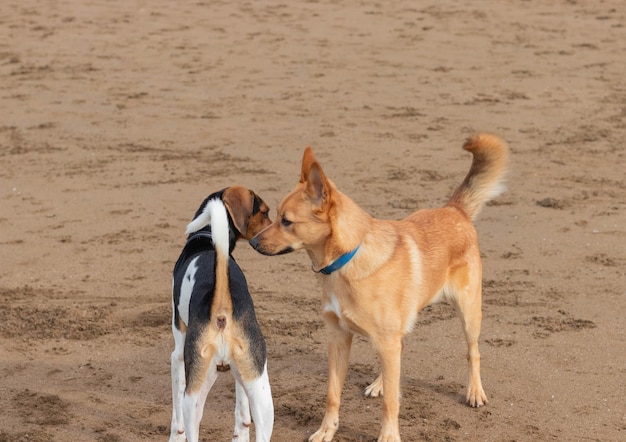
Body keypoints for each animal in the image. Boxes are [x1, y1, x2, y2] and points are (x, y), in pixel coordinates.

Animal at [169, 187, 272, 442]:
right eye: (265, 212)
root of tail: (222, 307)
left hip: (195, 393)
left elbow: (176, 420)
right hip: (262, 394)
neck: (206, 238)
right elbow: (242, 414)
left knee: (190, 427)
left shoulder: (177, 355)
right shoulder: (243, 374)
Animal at [249, 135, 508, 442]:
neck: (347, 259)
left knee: (473, 352)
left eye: (286, 221)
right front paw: (326, 430)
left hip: (468, 313)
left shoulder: (384, 341)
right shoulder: (339, 339)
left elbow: (391, 403)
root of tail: (454, 210)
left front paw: (389, 435)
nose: (252, 242)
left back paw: (475, 391)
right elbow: (332, 394)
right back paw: (381, 383)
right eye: (275, 215)